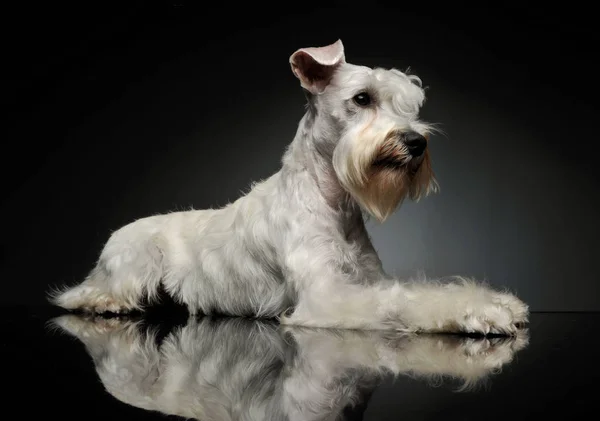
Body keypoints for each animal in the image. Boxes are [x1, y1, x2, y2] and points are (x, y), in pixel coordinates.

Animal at [49, 39, 528, 334]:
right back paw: (104, 301)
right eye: (361, 98)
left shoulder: (366, 279)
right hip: (133, 265)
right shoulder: (329, 296)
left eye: (409, 105)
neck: (332, 202)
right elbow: (401, 300)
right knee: (85, 295)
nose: (415, 142)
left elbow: (418, 287)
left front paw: (499, 303)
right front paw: (479, 311)